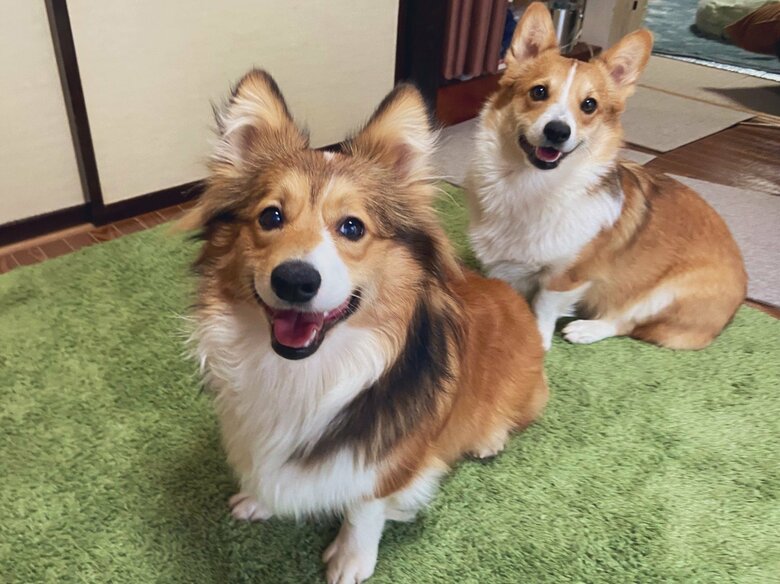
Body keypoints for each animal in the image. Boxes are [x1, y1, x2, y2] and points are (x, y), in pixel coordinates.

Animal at [183, 70, 548, 583]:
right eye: (270, 216)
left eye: (352, 227)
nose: (295, 280)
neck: (302, 373)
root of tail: (513, 296)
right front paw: (258, 501)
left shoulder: (390, 463)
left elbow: (364, 508)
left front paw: (350, 559)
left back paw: (489, 438)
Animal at [467, 2, 747, 351]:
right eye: (539, 91)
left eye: (589, 105)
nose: (558, 131)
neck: (529, 183)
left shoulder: (567, 277)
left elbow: (544, 305)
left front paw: (539, 342)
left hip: (666, 293)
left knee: (626, 322)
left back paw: (586, 329)